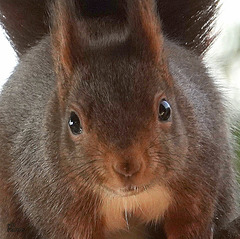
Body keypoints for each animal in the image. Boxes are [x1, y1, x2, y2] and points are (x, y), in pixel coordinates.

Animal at [0, 0, 239, 238]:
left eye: (165, 109)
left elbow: (189, 224)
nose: (127, 166)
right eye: (73, 122)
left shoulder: (197, 184)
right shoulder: (58, 205)